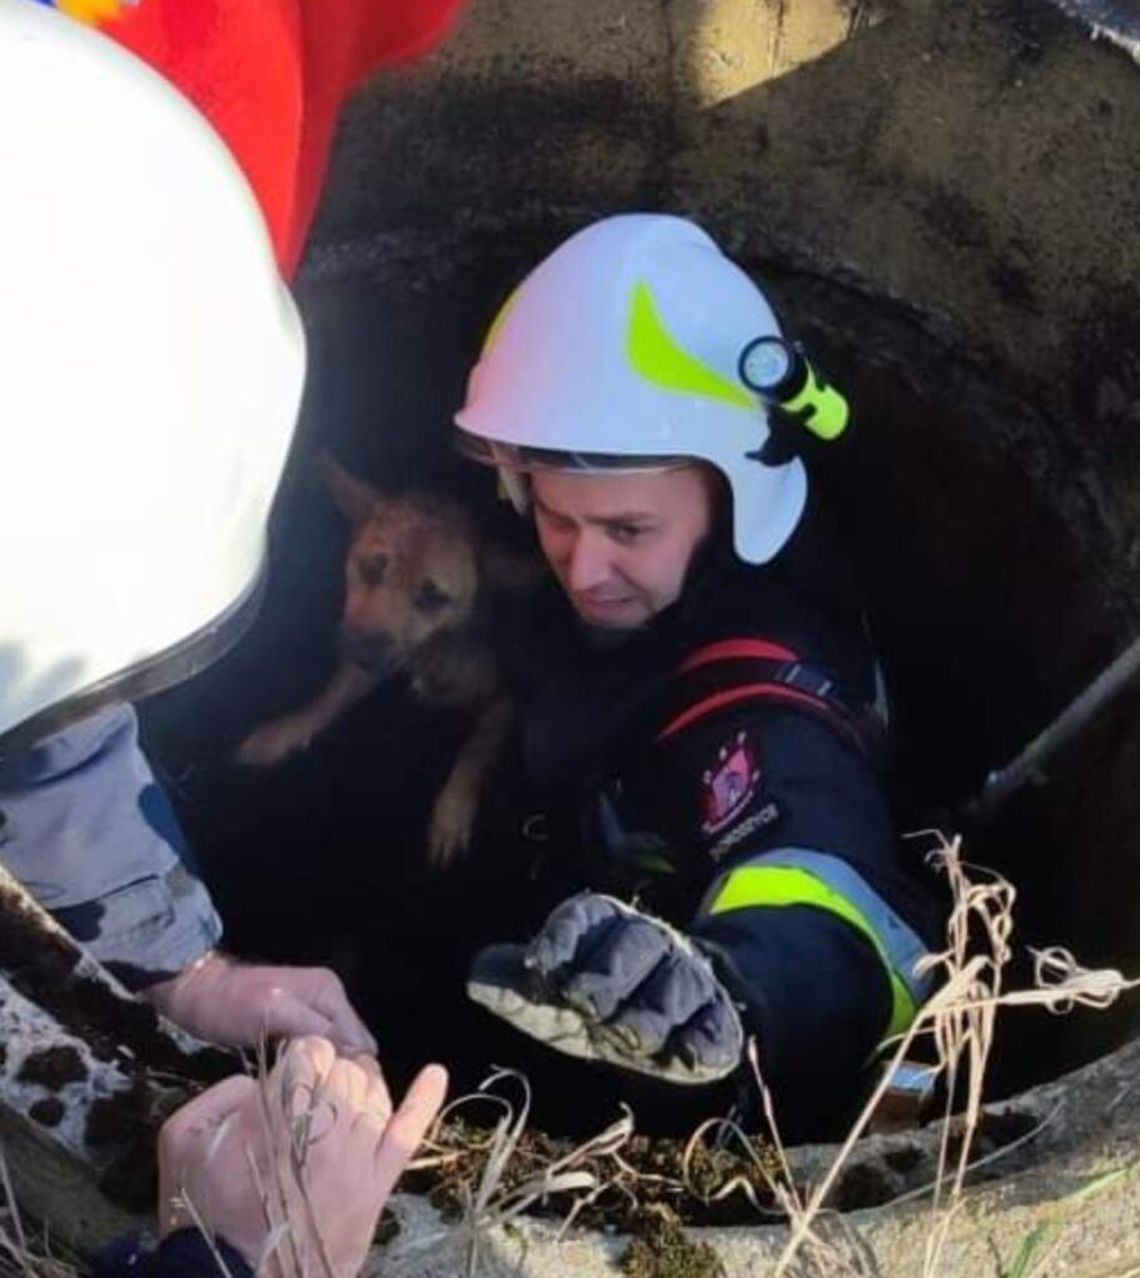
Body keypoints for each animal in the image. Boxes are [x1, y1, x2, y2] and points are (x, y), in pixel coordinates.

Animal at [237, 454, 531, 863]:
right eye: (370, 568)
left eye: (433, 597)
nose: (359, 650)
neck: (431, 649)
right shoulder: (366, 665)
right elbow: (330, 697)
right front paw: (286, 730)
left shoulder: (505, 699)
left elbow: (475, 753)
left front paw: (451, 815)